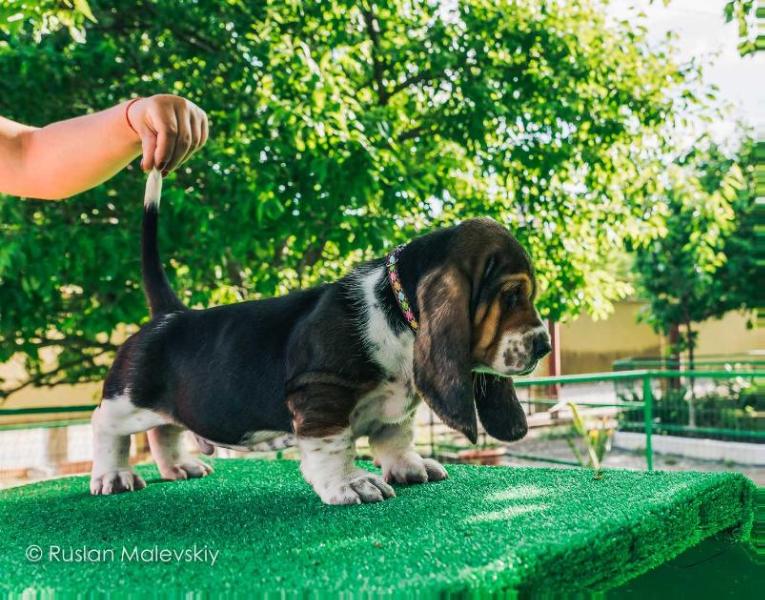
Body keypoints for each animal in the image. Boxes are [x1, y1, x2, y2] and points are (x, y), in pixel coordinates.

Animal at [89, 171, 548, 504]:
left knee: (164, 430)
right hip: (127, 399)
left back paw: (178, 467)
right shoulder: (321, 393)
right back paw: (114, 475)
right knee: (106, 427)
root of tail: (169, 314)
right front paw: (351, 484)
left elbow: (395, 436)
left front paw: (409, 467)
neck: (394, 312)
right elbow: (334, 445)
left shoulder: (396, 408)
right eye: (511, 295)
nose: (544, 345)